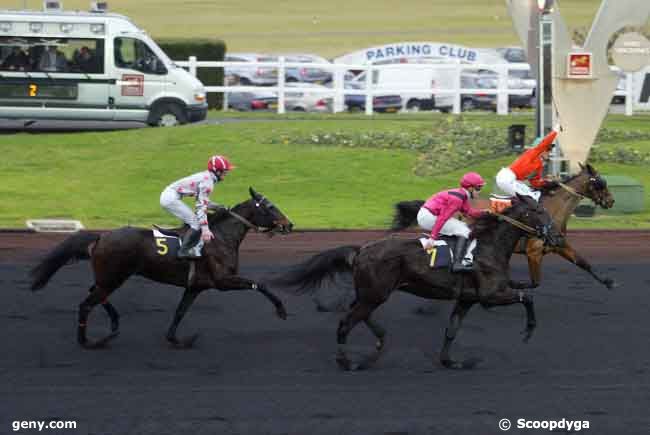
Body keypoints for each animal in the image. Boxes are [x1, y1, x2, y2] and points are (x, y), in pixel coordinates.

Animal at [31, 188, 292, 350]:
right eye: (270, 207)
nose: (289, 225)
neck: (219, 236)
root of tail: (101, 236)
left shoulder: (196, 287)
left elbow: (180, 312)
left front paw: (176, 339)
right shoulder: (222, 281)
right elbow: (259, 284)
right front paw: (281, 310)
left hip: (109, 277)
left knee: (94, 294)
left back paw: (114, 325)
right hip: (114, 277)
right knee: (87, 303)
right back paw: (88, 341)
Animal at [270, 196, 560, 370]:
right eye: (538, 211)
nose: (556, 236)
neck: (489, 246)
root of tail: (361, 249)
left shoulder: (467, 299)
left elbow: (451, 330)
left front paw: (450, 361)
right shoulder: (490, 296)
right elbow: (527, 298)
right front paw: (529, 331)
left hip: (371, 294)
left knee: (358, 314)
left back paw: (379, 342)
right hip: (376, 293)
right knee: (346, 322)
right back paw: (348, 362)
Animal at [390, 165, 612, 292]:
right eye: (600, 183)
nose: (611, 201)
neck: (551, 210)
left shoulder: (559, 244)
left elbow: (583, 263)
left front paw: (608, 282)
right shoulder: (534, 252)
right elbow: (535, 282)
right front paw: (513, 285)